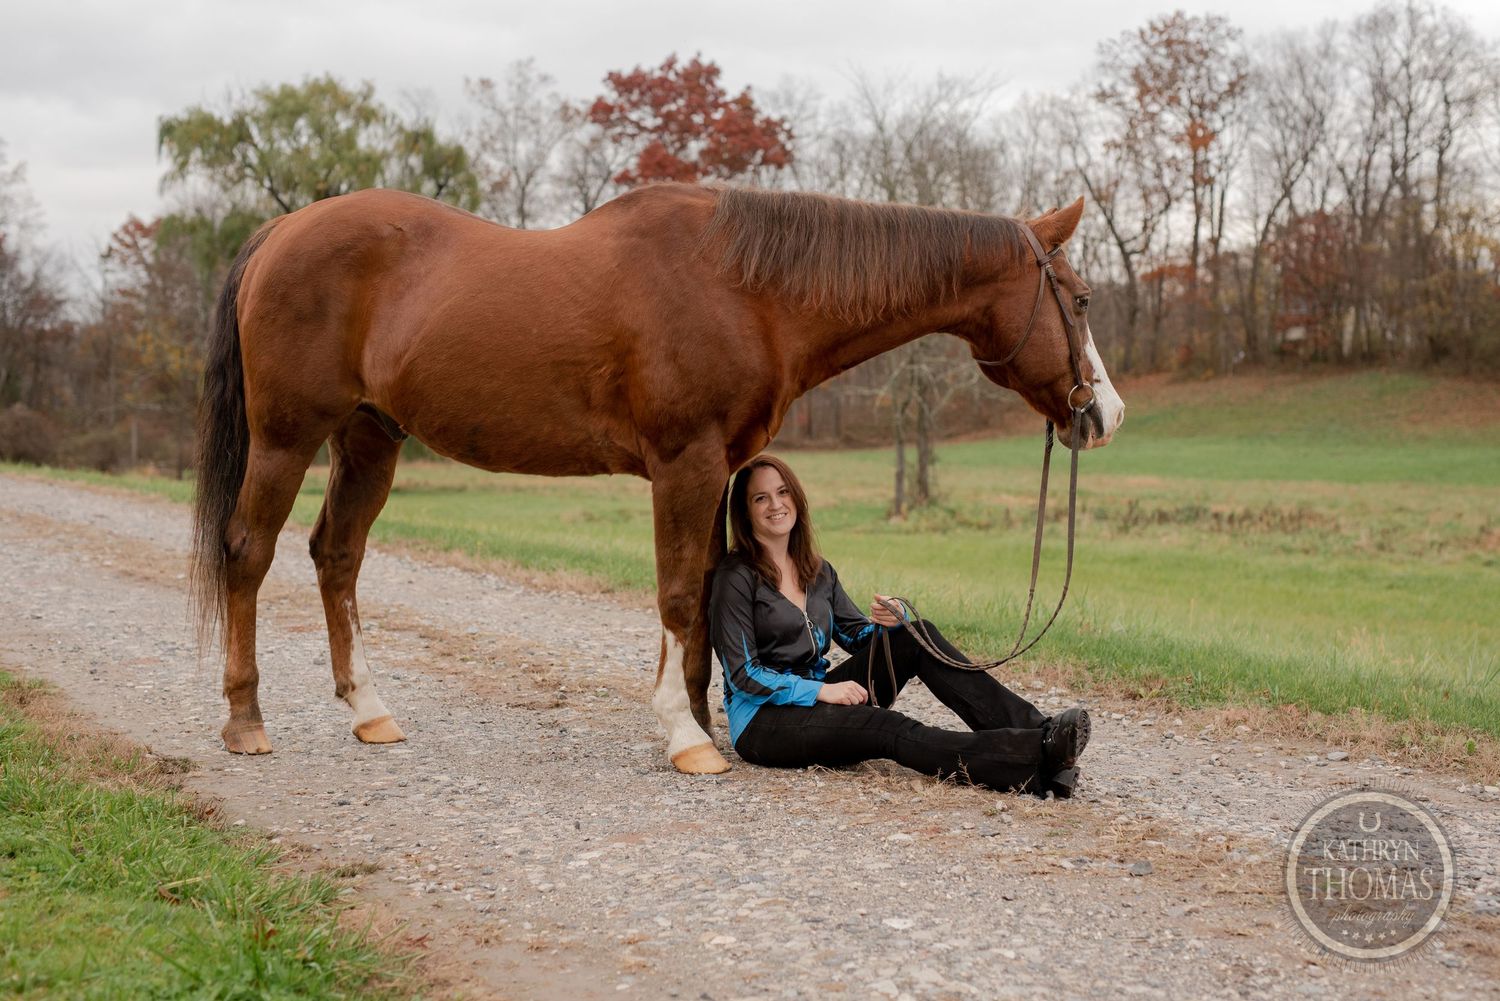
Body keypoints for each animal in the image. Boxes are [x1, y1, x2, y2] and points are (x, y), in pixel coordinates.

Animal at [190, 182, 1125, 776]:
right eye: (1078, 298)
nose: (1105, 414)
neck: (746, 289)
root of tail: (279, 235)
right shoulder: (686, 462)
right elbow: (680, 594)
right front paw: (687, 736)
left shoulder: (718, 469)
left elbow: (708, 596)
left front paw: (705, 718)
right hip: (286, 437)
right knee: (249, 551)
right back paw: (244, 721)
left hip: (368, 438)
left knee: (336, 555)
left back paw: (370, 712)